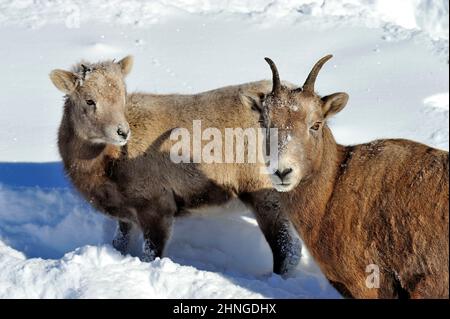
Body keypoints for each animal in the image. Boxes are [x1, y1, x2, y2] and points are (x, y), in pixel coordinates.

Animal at [49, 55, 302, 276]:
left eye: (122, 96)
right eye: (89, 100)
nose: (122, 132)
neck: (106, 166)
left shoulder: (157, 205)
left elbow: (152, 253)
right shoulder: (126, 214)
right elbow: (119, 242)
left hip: (265, 193)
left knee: (287, 249)